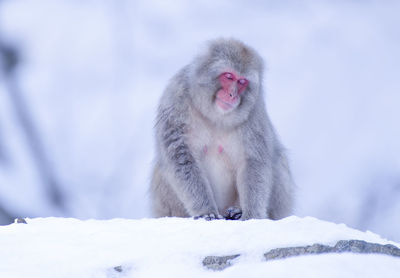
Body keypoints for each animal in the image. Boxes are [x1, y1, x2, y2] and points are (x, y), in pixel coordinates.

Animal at [150, 38, 294, 220]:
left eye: (242, 82)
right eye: (229, 76)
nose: (232, 95)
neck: (215, 116)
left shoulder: (254, 112)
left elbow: (253, 161)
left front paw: (251, 215)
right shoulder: (176, 99)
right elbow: (181, 157)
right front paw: (206, 211)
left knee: (278, 158)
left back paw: (237, 211)